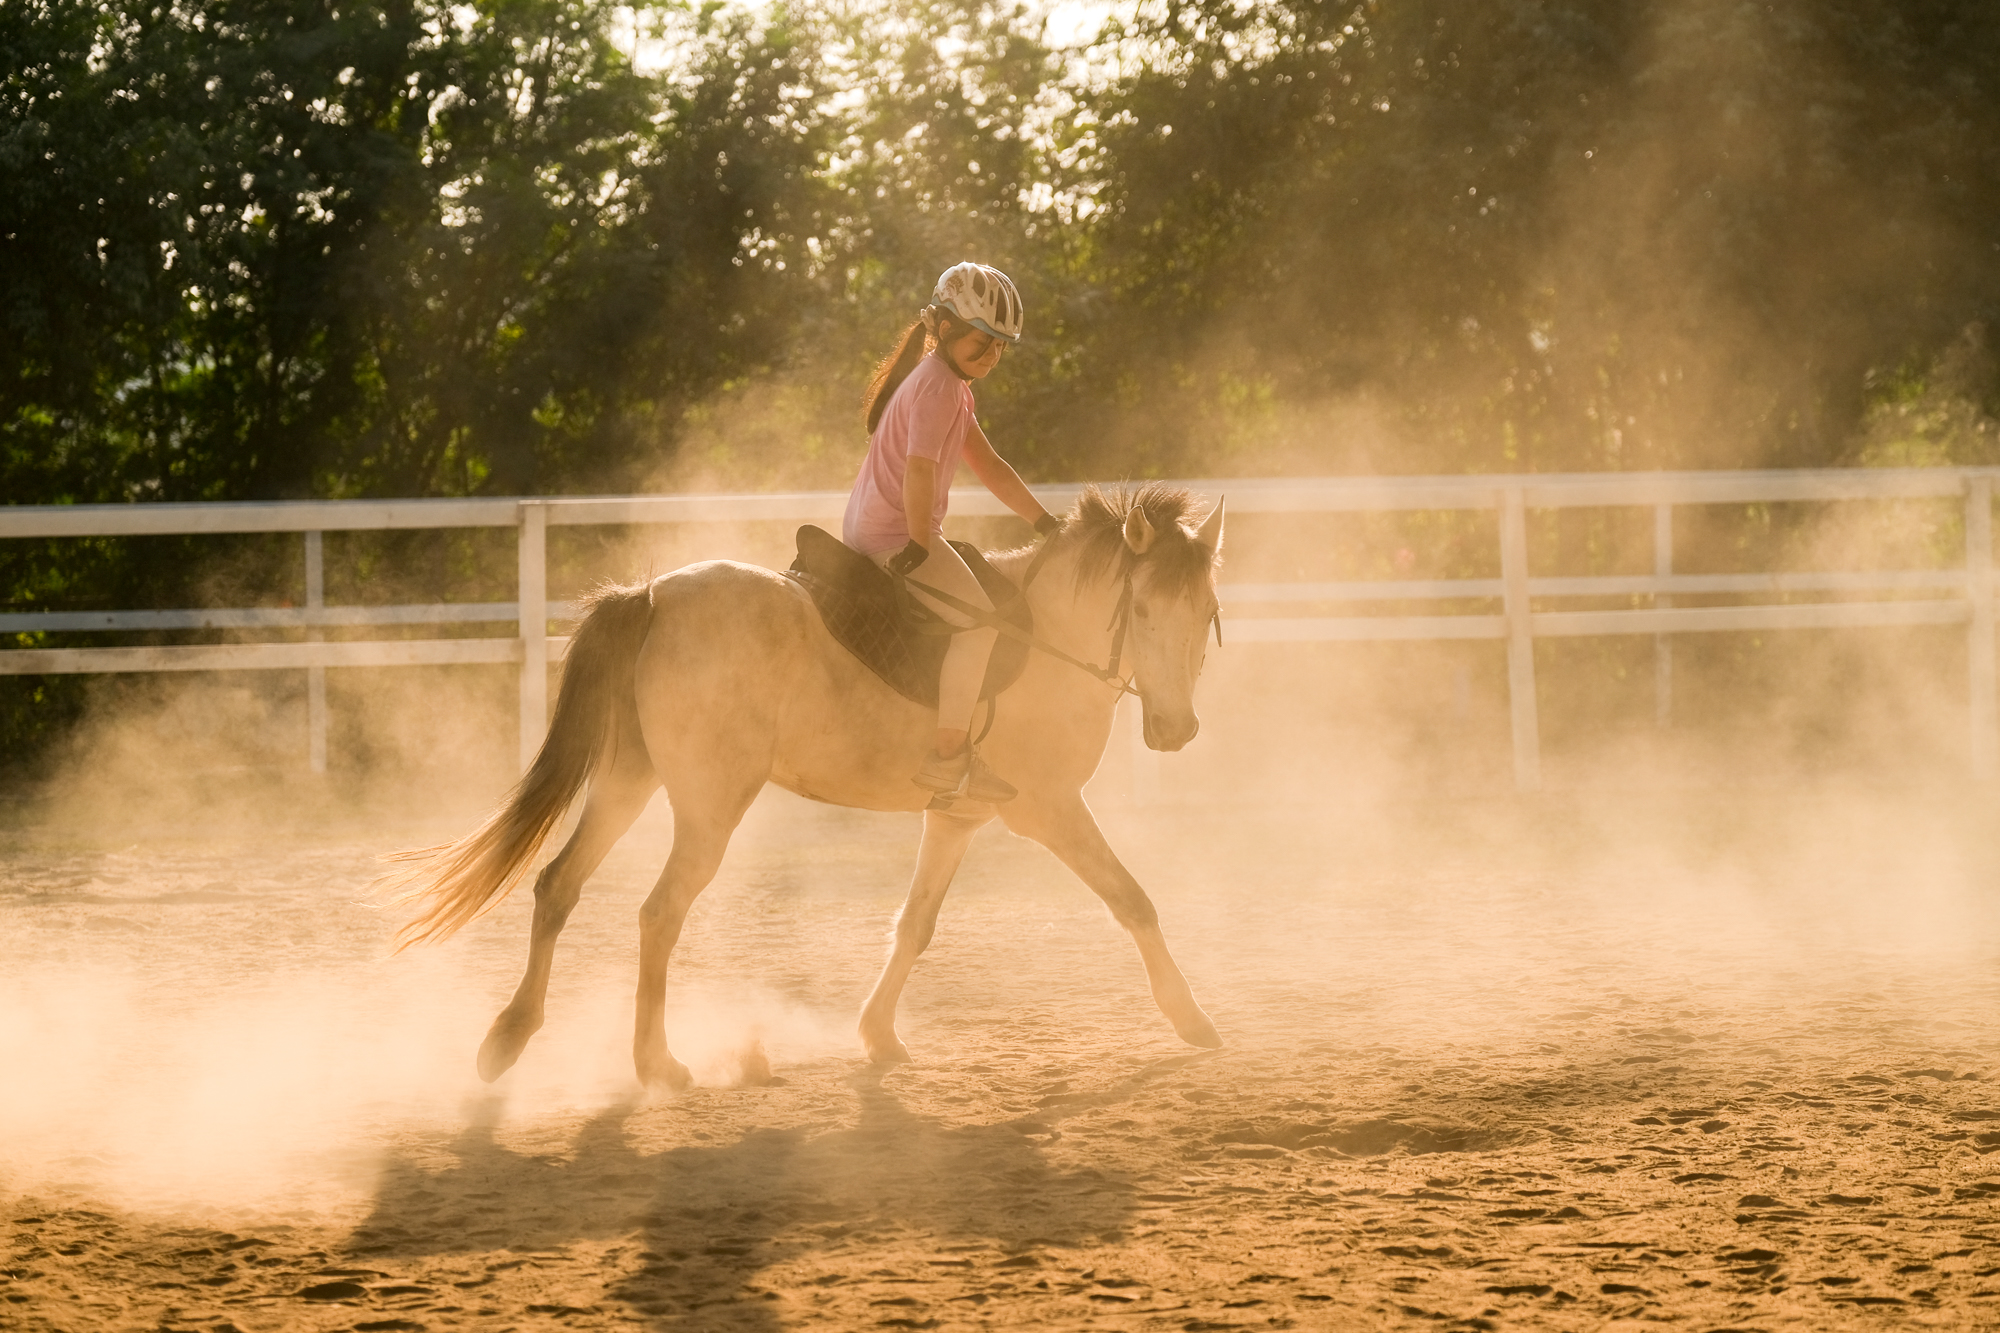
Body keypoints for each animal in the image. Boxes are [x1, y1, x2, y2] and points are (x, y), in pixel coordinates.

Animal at [382, 482, 1224, 1088]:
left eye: (1205, 610)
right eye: (1143, 607)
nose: (1177, 728)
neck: (1045, 637)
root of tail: (654, 596)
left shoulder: (958, 817)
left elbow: (915, 925)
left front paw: (877, 1035)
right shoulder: (1049, 809)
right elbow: (1133, 900)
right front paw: (1191, 1019)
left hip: (628, 777)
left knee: (558, 884)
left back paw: (509, 1037)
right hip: (709, 807)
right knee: (658, 913)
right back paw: (657, 1063)